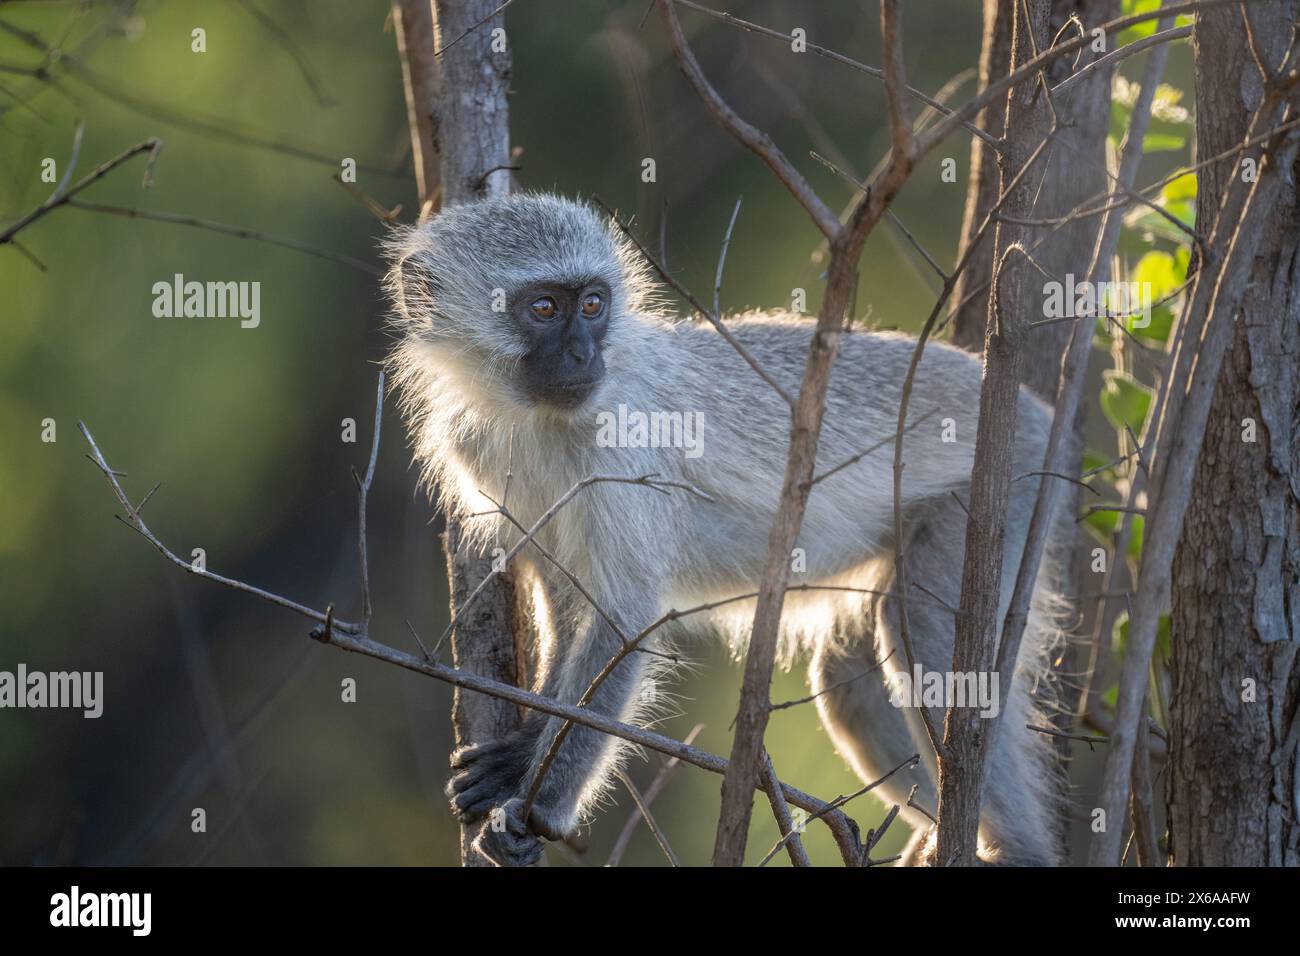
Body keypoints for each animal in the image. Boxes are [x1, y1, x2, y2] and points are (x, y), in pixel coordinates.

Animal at [382, 192, 1066, 868]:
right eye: (545, 308)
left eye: (593, 304)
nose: (583, 355)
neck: (533, 419)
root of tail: (1032, 410)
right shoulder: (476, 449)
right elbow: (566, 603)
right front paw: (519, 758)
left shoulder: (621, 445)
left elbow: (622, 623)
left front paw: (538, 808)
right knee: (851, 679)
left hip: (1003, 489)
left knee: (922, 635)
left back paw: (1018, 851)